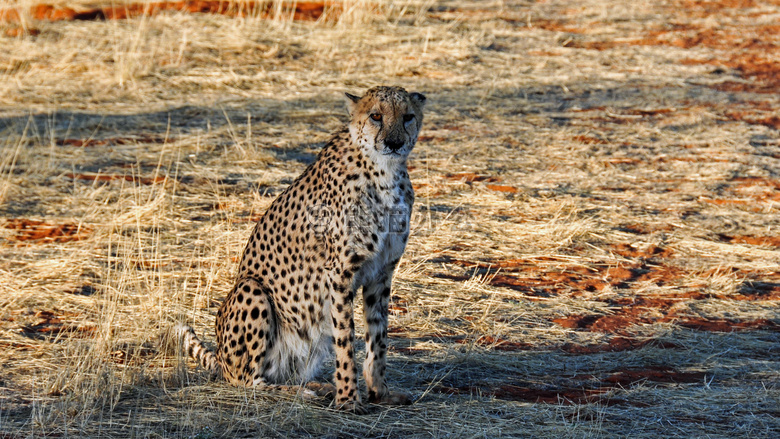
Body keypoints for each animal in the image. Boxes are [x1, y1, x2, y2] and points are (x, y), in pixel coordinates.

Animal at [175, 86, 426, 412]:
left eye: (407, 117)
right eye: (375, 116)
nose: (394, 143)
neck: (384, 173)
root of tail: (220, 358)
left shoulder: (381, 272)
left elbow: (378, 336)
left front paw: (379, 393)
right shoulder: (340, 273)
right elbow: (345, 338)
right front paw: (348, 399)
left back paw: (316, 386)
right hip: (251, 289)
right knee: (248, 381)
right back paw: (304, 392)